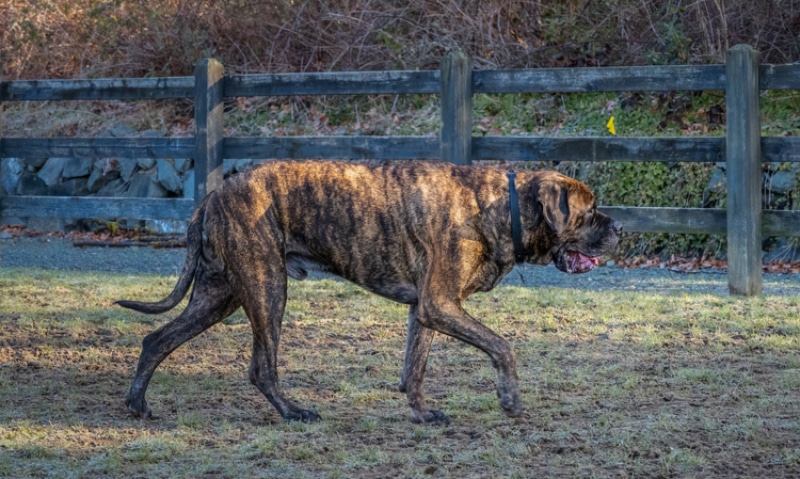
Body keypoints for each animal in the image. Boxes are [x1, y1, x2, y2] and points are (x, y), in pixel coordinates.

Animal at [117, 160, 620, 424]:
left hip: (220, 295)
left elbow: (414, 368)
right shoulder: (440, 304)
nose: (619, 227)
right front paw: (510, 399)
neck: (500, 208)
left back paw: (138, 404)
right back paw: (294, 411)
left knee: (157, 338)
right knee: (261, 367)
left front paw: (421, 414)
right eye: (590, 210)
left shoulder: (425, 310)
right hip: (266, 288)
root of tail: (211, 196)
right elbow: (503, 346)